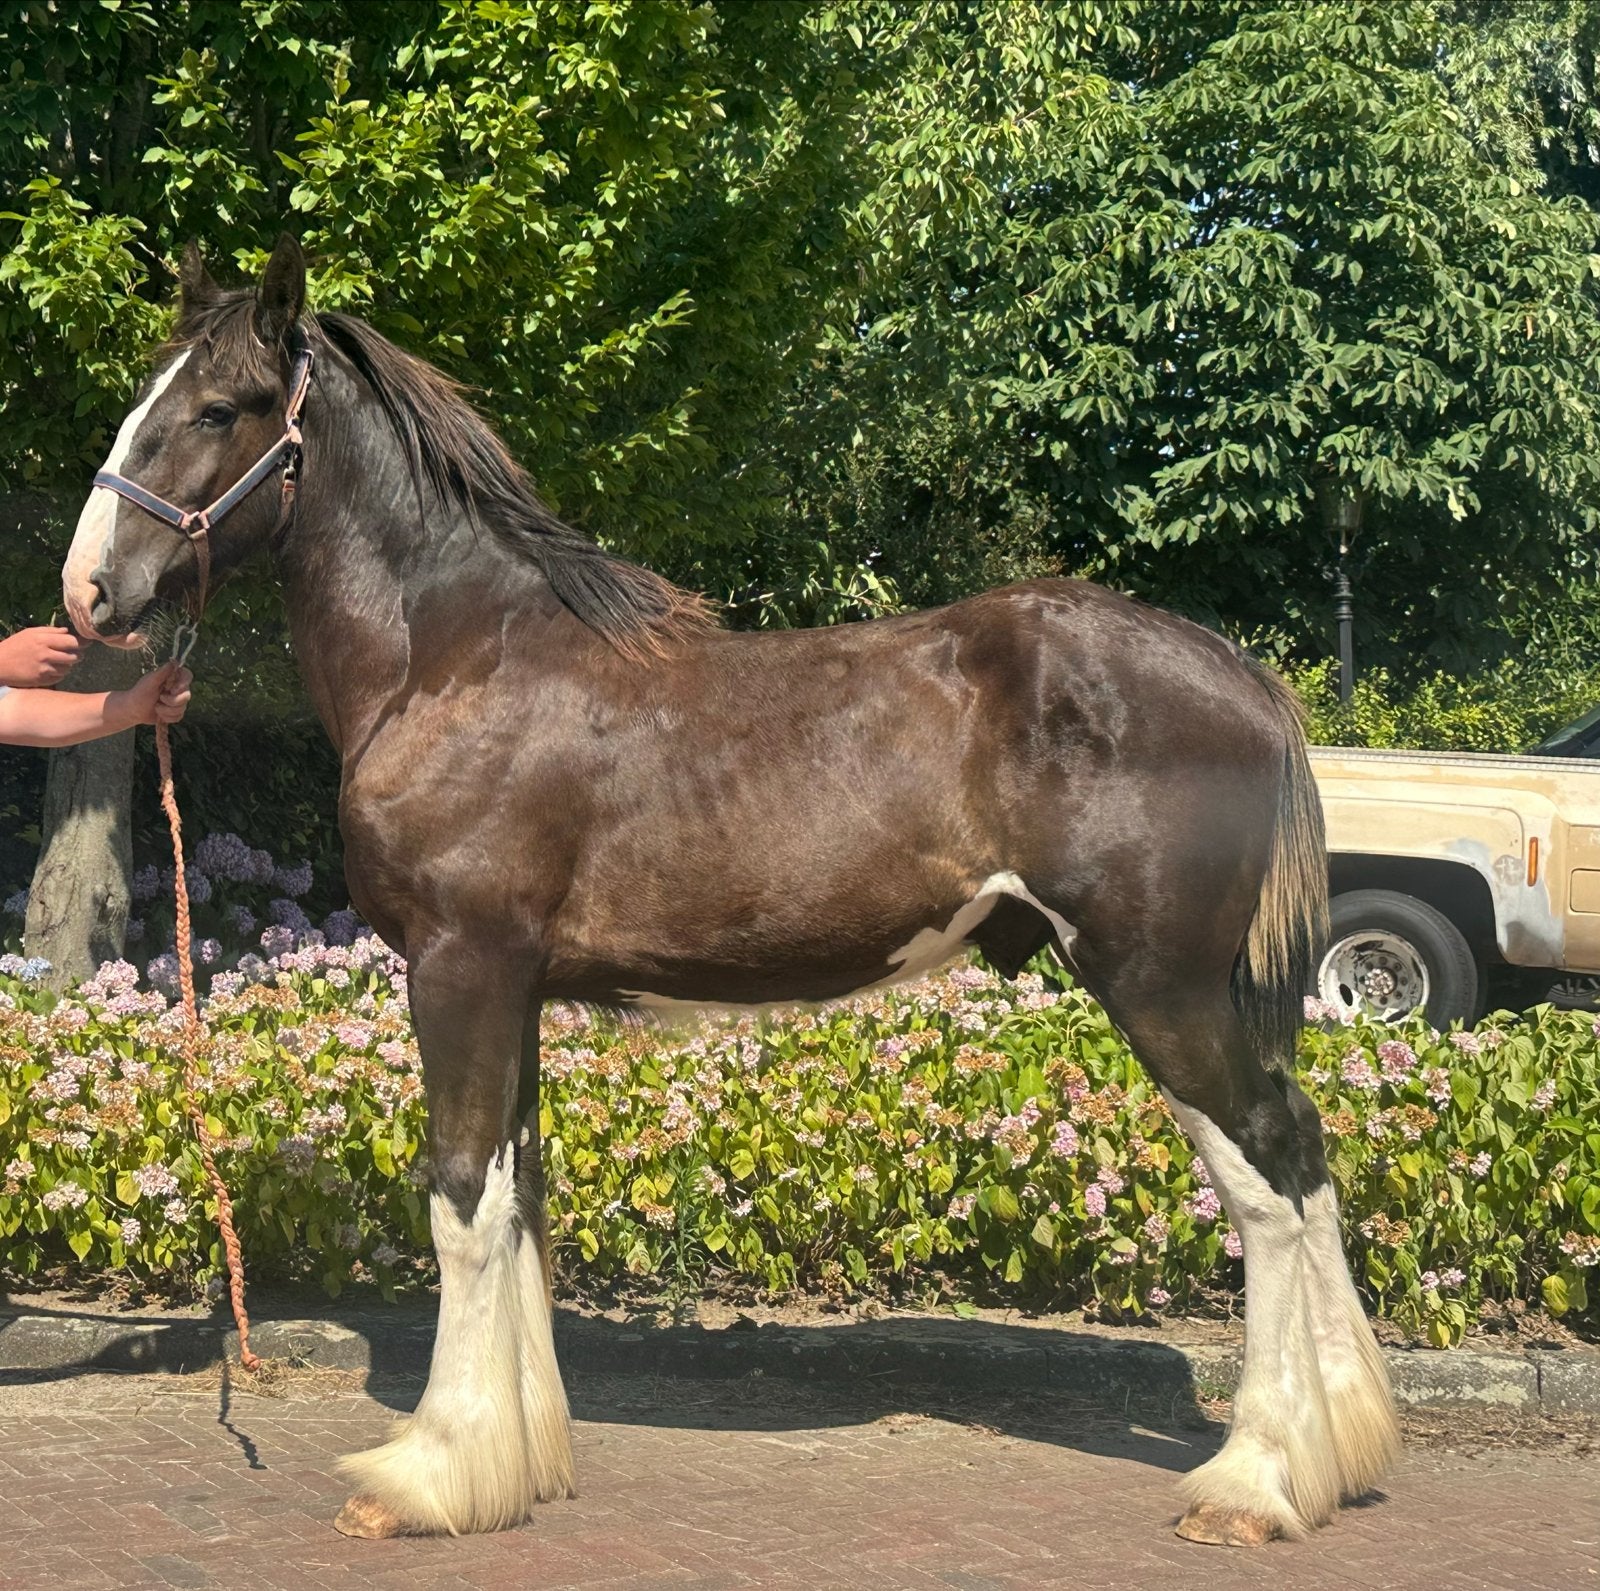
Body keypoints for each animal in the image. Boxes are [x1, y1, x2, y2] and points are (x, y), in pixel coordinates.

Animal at [60, 234, 1398, 1546]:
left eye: (215, 408)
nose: (88, 592)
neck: (458, 658)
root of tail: (1241, 676)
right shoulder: (517, 988)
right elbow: (520, 1196)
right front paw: (521, 1462)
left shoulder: (459, 968)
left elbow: (459, 1198)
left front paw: (430, 1473)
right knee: (1307, 1151)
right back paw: (1339, 1448)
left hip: (1160, 985)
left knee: (1267, 1180)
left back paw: (1254, 1482)